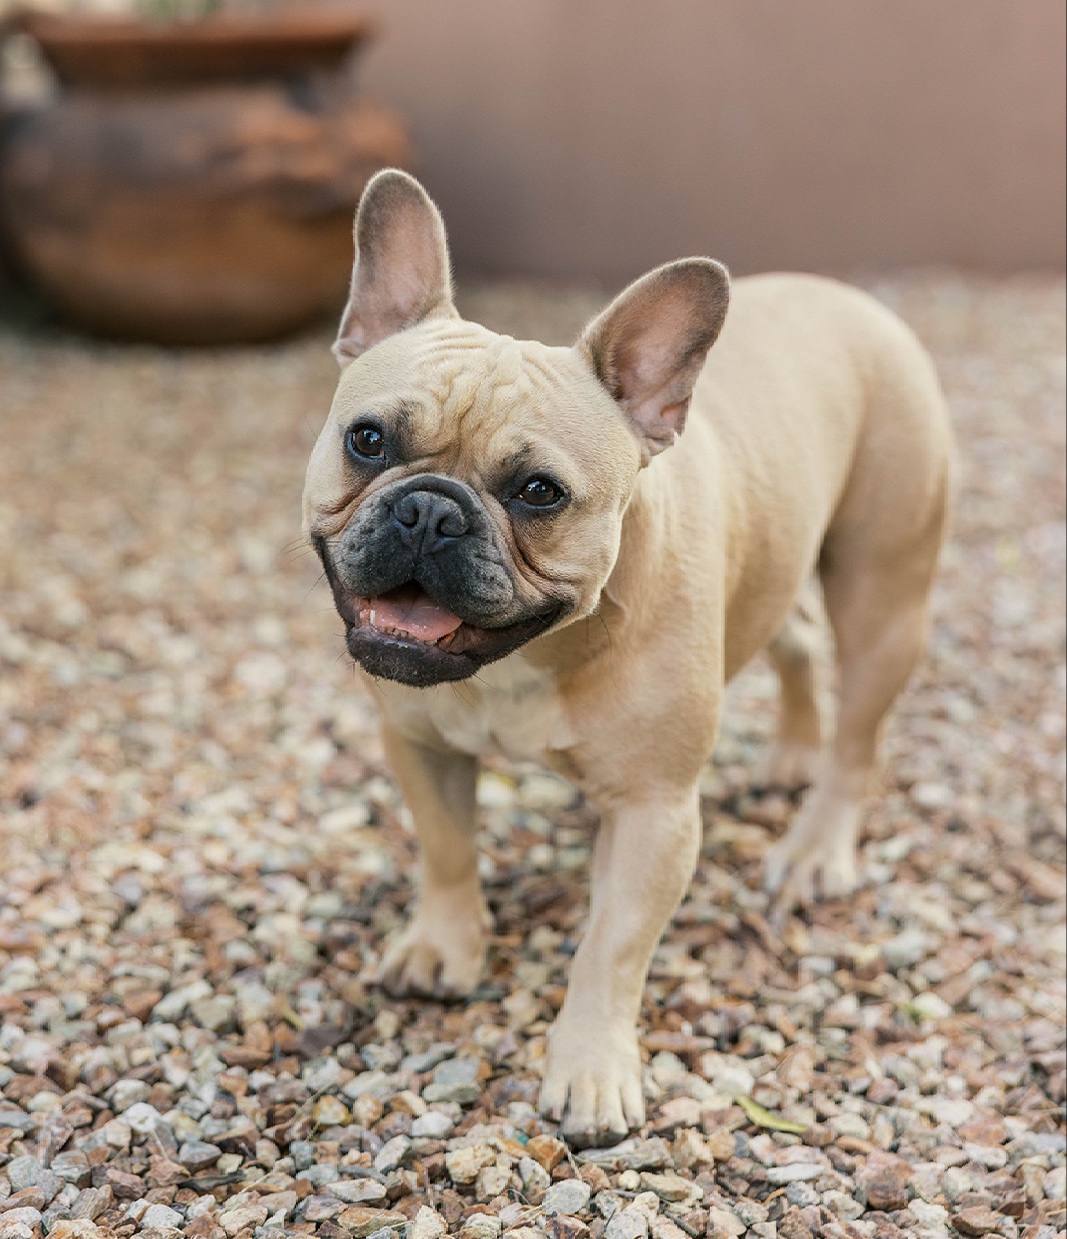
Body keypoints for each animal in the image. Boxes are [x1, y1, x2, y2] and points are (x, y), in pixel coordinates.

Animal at [303, 169, 951, 1144]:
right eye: (368, 439)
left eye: (539, 492)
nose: (430, 509)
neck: (520, 660)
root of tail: (850, 298)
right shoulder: (421, 745)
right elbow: (447, 850)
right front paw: (443, 945)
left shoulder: (655, 811)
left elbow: (610, 948)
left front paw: (590, 1068)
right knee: (796, 639)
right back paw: (790, 754)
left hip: (884, 592)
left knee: (860, 736)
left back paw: (814, 846)